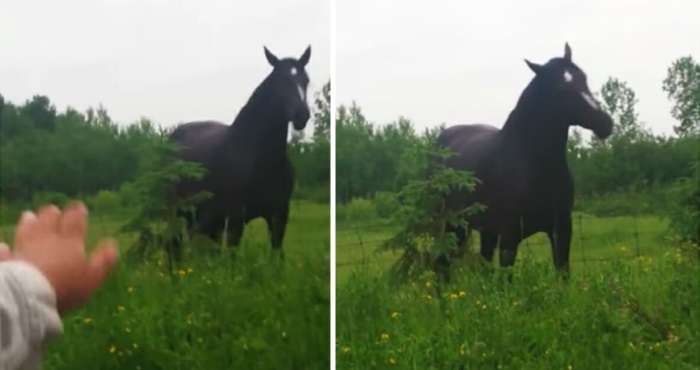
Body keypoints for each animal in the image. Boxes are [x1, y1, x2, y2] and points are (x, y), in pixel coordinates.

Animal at [167, 46, 312, 260]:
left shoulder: (278, 217)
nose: (302, 115)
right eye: (279, 81)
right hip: (176, 212)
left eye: (306, 80)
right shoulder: (235, 220)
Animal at [438, 44, 612, 278]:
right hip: (452, 225)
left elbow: (563, 274)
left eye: (583, 78)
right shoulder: (509, 236)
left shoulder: (561, 231)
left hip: (485, 230)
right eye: (559, 88)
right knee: (442, 262)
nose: (605, 123)